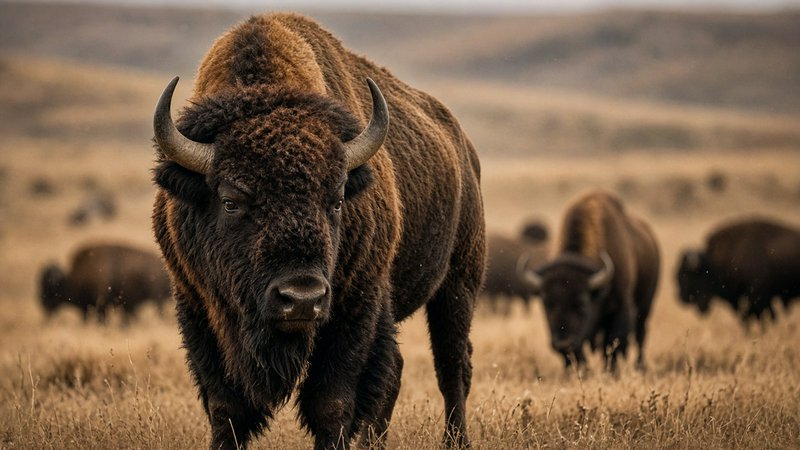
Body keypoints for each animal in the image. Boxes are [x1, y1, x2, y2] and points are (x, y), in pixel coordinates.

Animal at [150, 13, 486, 450]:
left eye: (338, 200)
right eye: (230, 201)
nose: (301, 299)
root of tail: (464, 149)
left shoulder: (353, 305)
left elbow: (332, 403)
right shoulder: (196, 304)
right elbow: (226, 408)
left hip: (458, 284)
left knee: (451, 367)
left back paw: (455, 441)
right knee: (397, 371)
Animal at [518, 191, 660, 371]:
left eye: (582, 304)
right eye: (547, 304)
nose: (563, 344)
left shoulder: (621, 308)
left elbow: (613, 344)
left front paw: (611, 371)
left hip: (646, 306)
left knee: (640, 336)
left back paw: (640, 366)